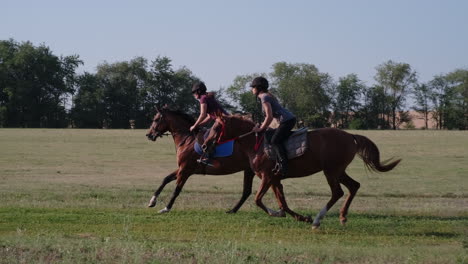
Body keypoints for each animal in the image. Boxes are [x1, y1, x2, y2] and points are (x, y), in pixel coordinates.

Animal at [146, 108, 284, 216]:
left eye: (156, 119)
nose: (149, 135)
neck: (187, 139)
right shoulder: (182, 169)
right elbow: (165, 179)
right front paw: (152, 201)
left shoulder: (185, 170)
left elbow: (177, 190)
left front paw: (166, 208)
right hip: (249, 170)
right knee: (247, 191)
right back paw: (233, 210)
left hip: (251, 170)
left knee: (247, 191)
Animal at [203, 115, 400, 229]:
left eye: (217, 127)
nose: (204, 145)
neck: (256, 144)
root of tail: (351, 136)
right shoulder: (274, 179)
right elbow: (282, 202)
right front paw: (299, 217)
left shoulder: (267, 177)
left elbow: (258, 200)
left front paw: (279, 214)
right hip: (338, 170)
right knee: (354, 186)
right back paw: (342, 217)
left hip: (331, 171)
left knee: (338, 192)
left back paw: (318, 220)